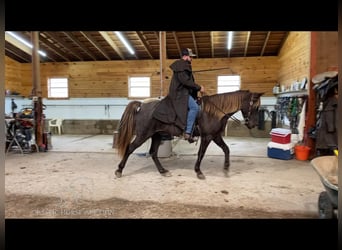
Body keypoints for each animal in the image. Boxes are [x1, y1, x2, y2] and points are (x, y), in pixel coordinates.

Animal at [115, 90, 264, 180]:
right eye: (255, 107)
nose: (254, 124)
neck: (214, 112)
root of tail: (142, 105)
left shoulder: (215, 136)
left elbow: (226, 149)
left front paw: (226, 168)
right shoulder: (207, 137)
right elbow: (201, 153)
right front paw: (198, 171)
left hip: (156, 135)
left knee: (153, 153)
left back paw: (163, 171)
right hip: (143, 135)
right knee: (130, 149)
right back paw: (119, 171)